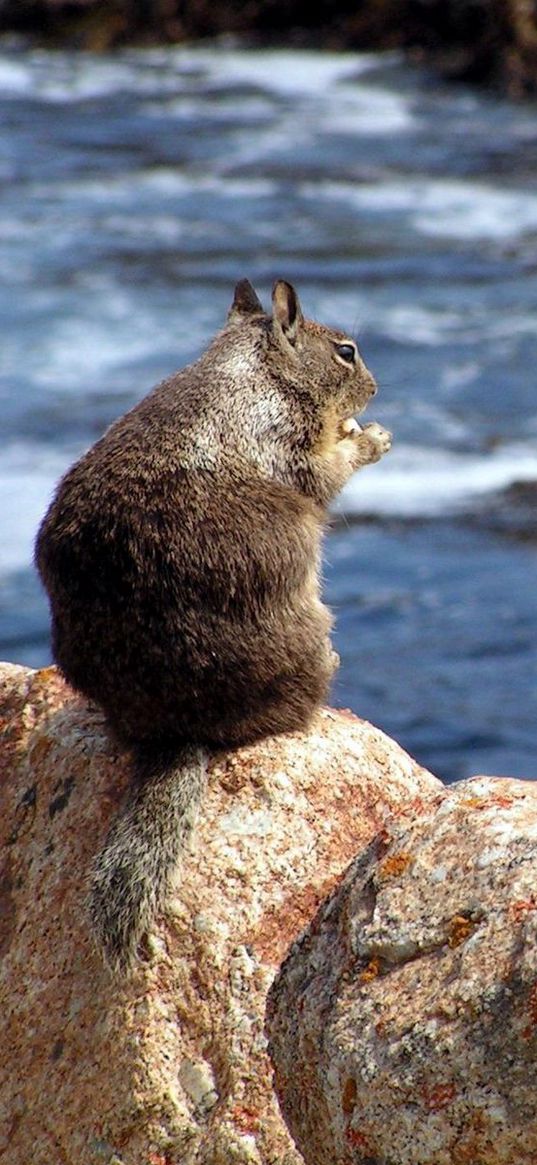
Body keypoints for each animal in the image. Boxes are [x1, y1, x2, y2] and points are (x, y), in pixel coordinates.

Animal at [35, 281, 391, 973]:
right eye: (347, 352)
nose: (376, 386)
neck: (255, 367)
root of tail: (177, 726)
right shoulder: (289, 440)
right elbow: (325, 472)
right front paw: (371, 437)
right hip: (308, 631)